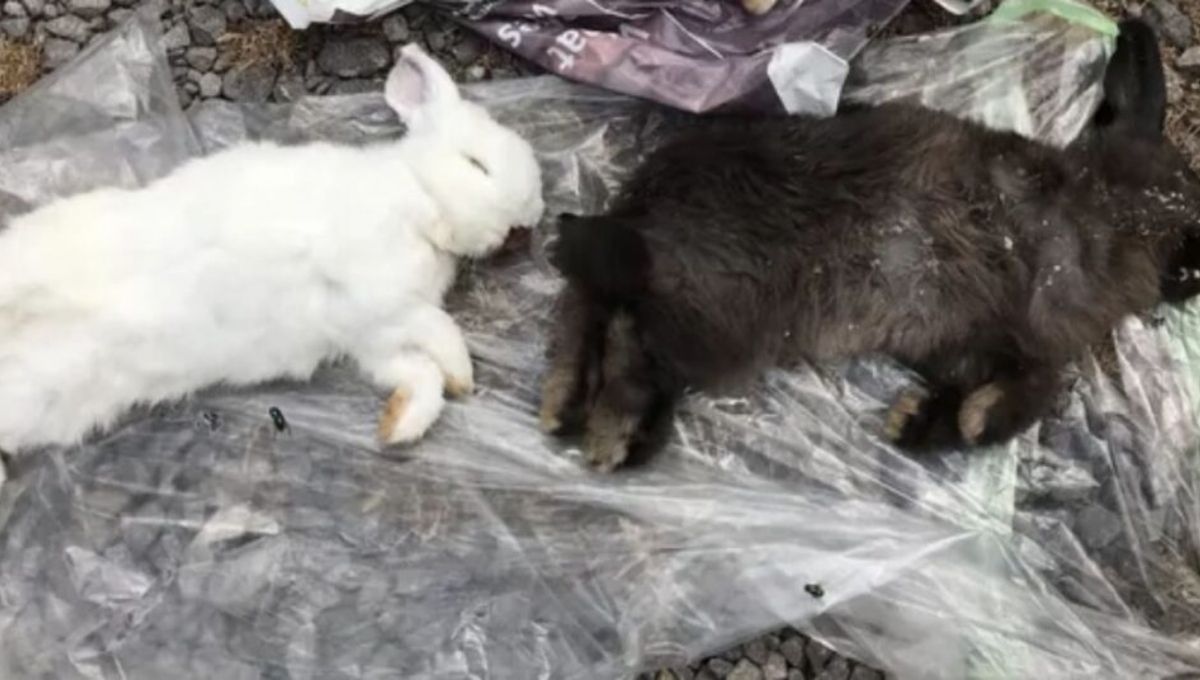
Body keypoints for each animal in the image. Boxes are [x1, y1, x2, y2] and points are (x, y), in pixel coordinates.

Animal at [0, 44, 545, 486]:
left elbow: (419, 376)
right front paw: (464, 374)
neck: (419, 199)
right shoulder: (375, 293)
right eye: (477, 165)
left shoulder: (373, 339)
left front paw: (396, 427)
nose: (529, 222)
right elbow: (439, 330)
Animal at [539, 18, 1200, 471]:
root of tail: (642, 215)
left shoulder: (975, 344)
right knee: (629, 328)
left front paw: (918, 424)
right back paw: (614, 433)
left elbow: (1007, 383)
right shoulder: (1029, 330)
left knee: (591, 304)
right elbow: (1039, 390)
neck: (1113, 215)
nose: (1185, 280)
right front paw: (974, 422)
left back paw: (566, 404)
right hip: (716, 316)